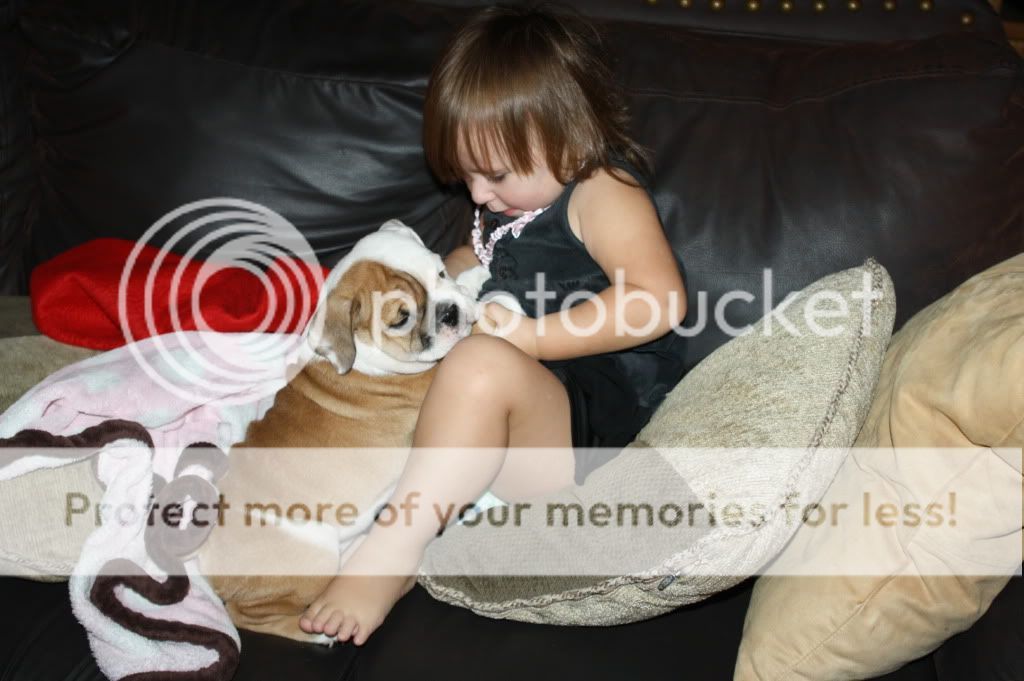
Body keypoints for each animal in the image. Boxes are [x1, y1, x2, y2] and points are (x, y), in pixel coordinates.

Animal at [195, 220, 482, 643]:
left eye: (441, 272)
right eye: (401, 318)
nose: (450, 312)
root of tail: (205, 565)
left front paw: (474, 279)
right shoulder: (433, 374)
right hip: (313, 556)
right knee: (250, 616)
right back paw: (317, 633)